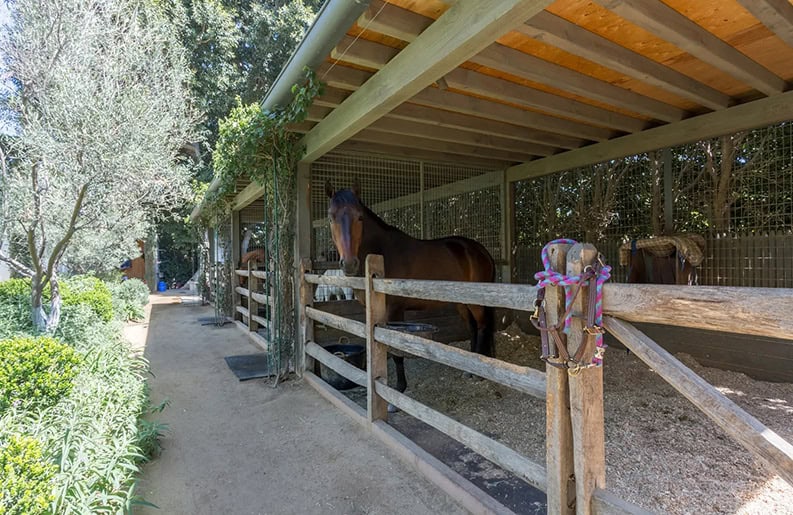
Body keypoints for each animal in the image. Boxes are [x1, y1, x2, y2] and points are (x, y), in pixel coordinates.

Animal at [324, 182, 492, 396]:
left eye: (359, 216)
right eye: (331, 217)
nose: (349, 264)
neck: (382, 252)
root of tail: (480, 250)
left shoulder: (394, 310)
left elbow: (395, 350)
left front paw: (399, 388)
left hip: (476, 302)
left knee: (482, 325)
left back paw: (478, 371)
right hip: (461, 301)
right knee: (472, 327)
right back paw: (469, 367)